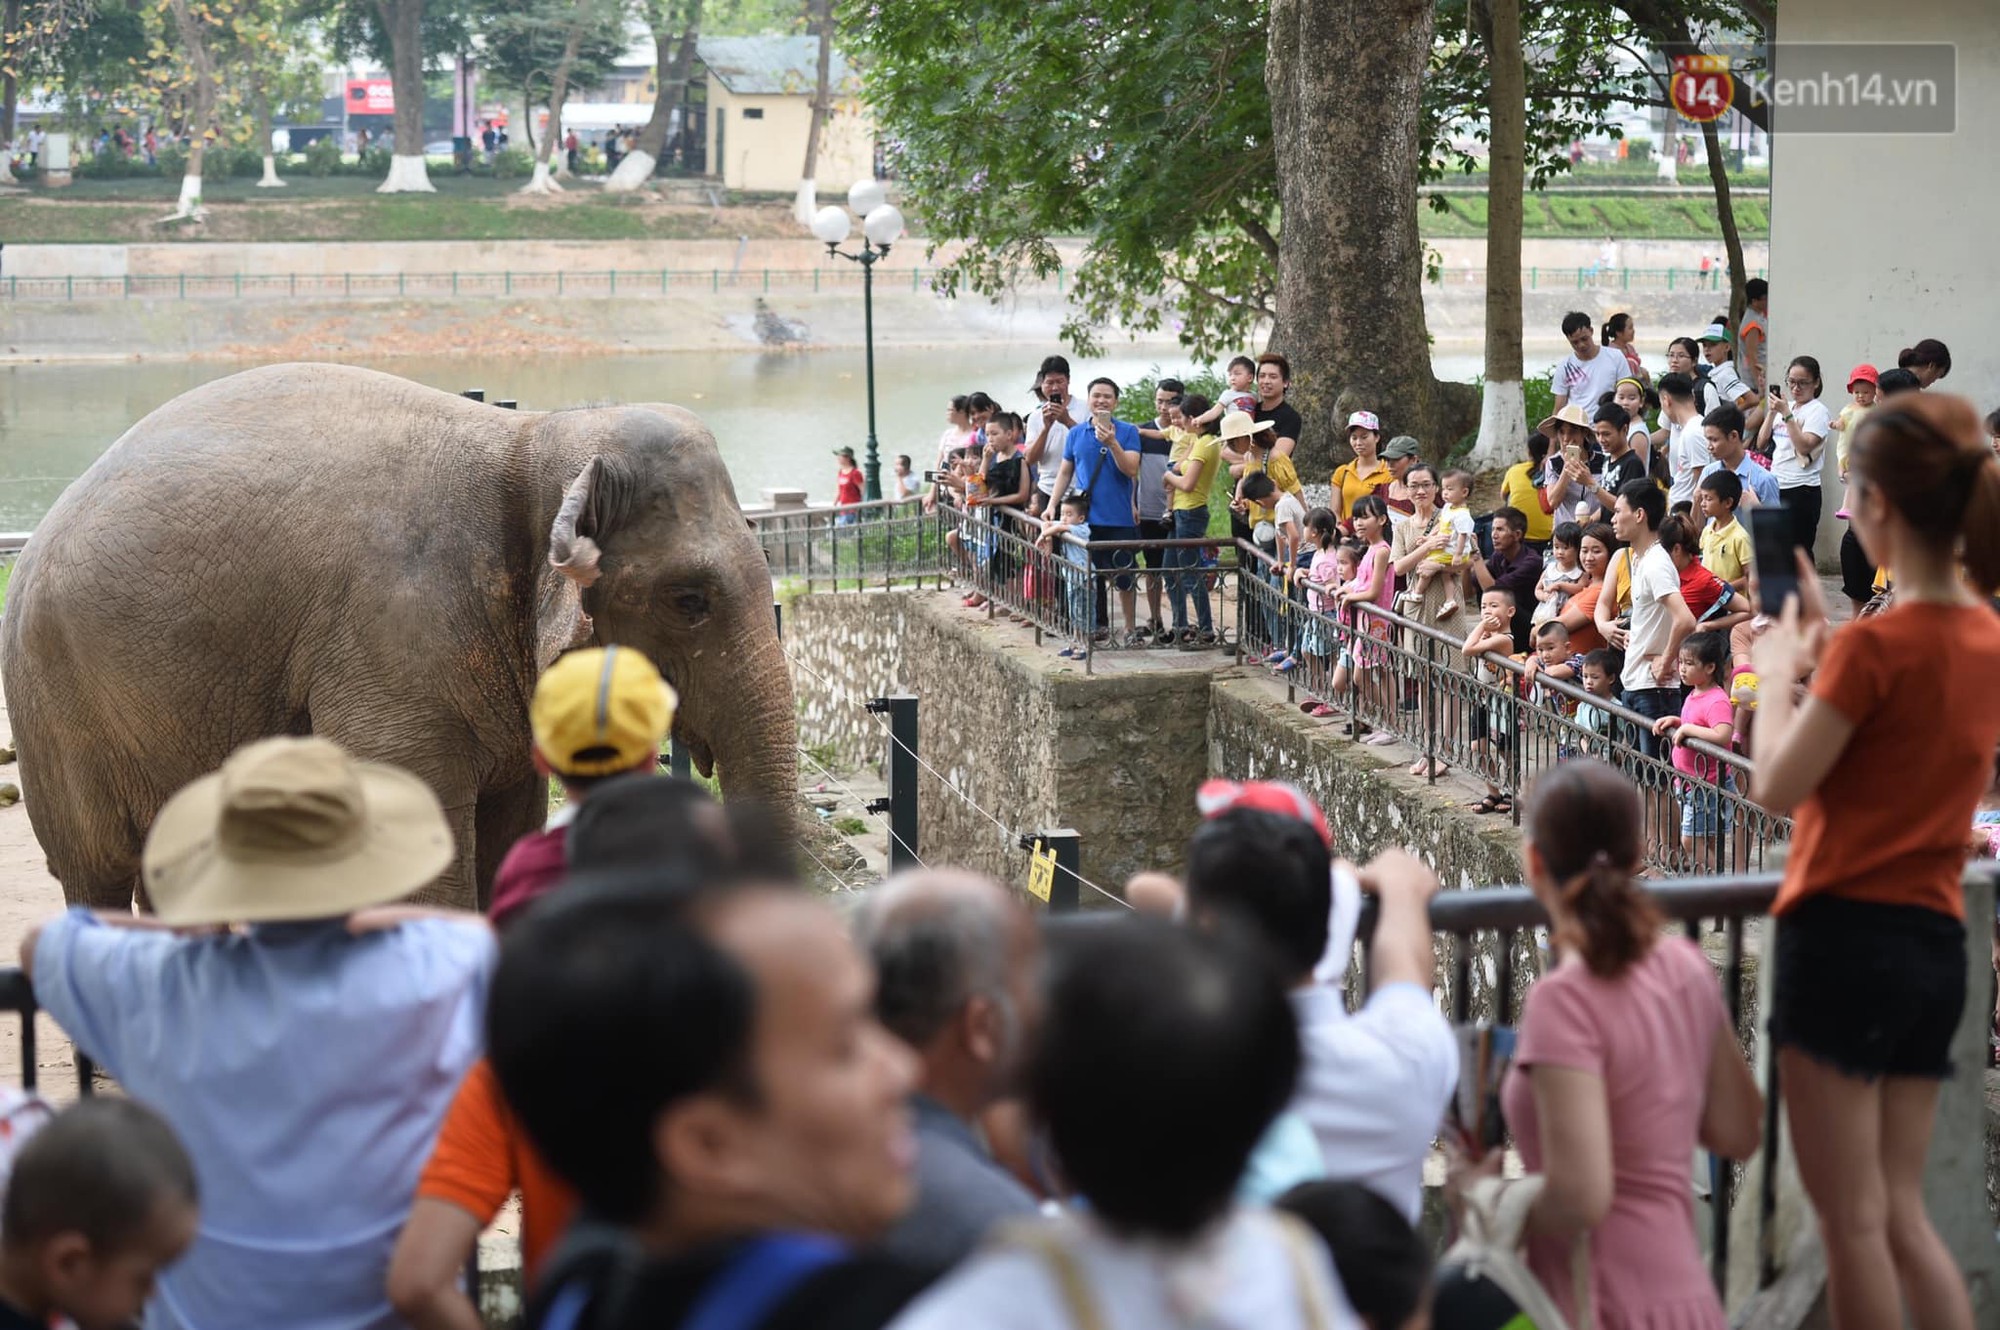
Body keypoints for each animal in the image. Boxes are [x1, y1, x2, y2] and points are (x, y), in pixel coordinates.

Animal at [1, 358, 796, 908]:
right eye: (690, 601)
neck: (533, 437)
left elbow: (510, 825)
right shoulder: (392, 633)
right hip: (59, 712)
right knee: (98, 872)